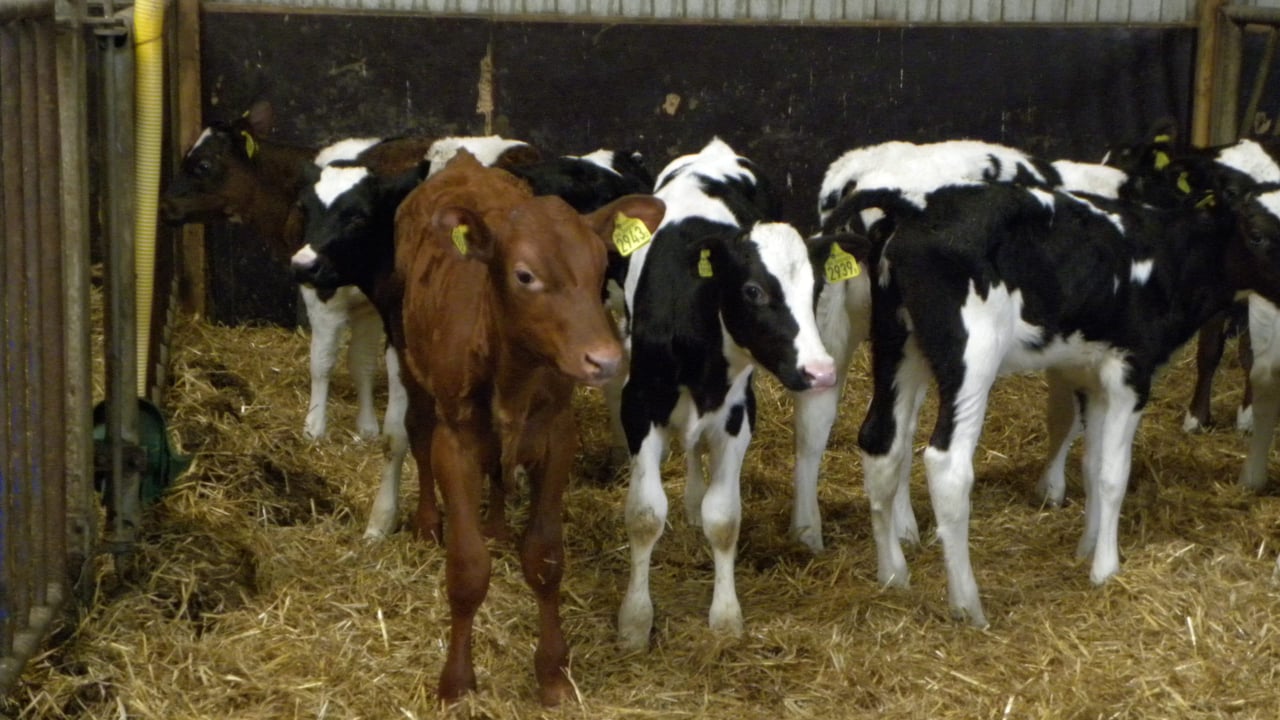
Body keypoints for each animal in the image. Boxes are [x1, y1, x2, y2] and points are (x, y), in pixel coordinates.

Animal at [393, 149, 664, 704]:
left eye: (601, 266)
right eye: (524, 275)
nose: (605, 359)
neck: (513, 372)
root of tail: (464, 162)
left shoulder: (557, 435)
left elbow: (544, 558)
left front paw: (554, 674)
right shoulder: (457, 439)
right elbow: (468, 568)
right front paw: (456, 682)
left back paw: (497, 526)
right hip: (413, 367)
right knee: (417, 435)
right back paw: (428, 523)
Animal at [614, 137, 844, 651]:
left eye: (816, 287)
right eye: (753, 290)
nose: (820, 371)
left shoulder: (739, 412)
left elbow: (723, 518)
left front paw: (725, 617)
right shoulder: (639, 405)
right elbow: (644, 514)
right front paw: (635, 622)